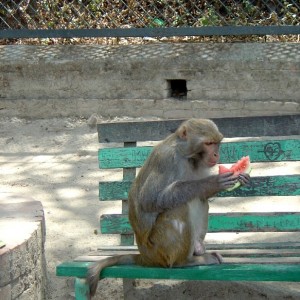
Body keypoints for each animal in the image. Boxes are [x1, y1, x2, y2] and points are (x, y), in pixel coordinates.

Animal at [86, 118, 251, 296]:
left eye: (216, 143)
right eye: (208, 143)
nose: (216, 154)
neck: (187, 156)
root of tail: (145, 257)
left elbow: (203, 195)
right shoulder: (167, 159)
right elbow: (149, 199)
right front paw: (212, 182)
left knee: (199, 199)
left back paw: (198, 249)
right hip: (159, 248)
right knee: (179, 206)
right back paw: (185, 261)